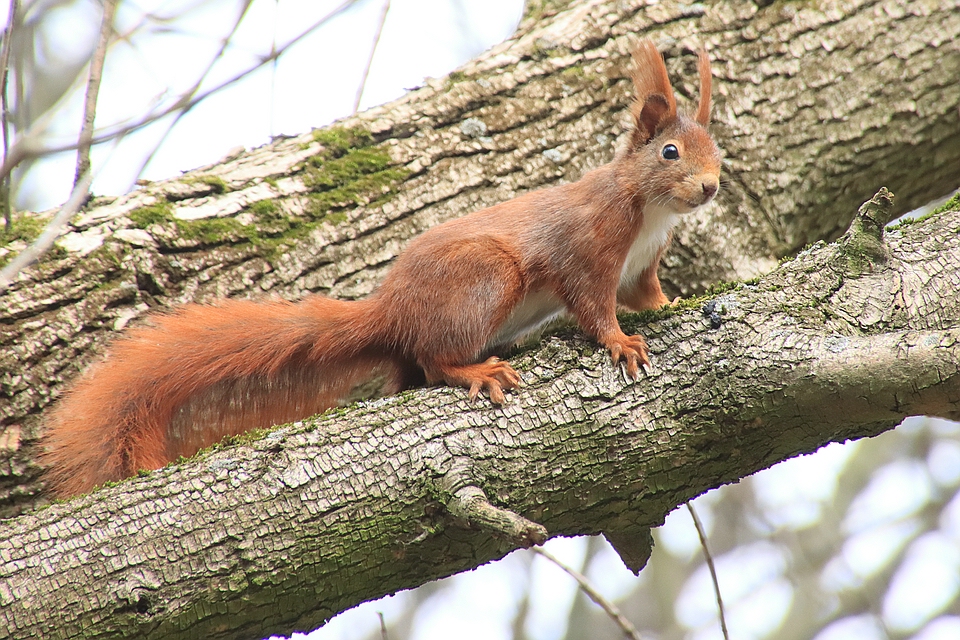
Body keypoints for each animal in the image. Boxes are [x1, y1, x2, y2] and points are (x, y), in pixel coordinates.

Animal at [43, 40, 720, 498]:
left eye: (717, 151)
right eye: (670, 152)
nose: (711, 187)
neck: (649, 212)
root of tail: (391, 312)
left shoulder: (639, 266)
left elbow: (646, 295)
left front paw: (670, 307)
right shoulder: (587, 248)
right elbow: (592, 305)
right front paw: (621, 342)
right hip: (487, 278)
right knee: (434, 359)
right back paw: (475, 370)